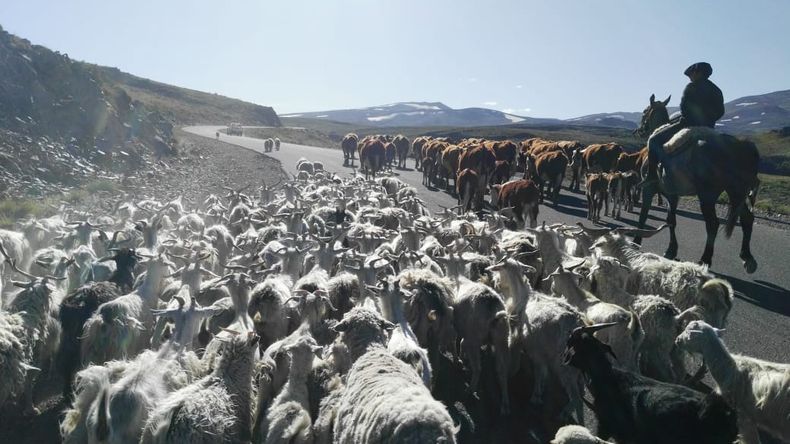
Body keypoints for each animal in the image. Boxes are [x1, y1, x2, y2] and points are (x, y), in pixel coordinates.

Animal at [632, 93, 760, 272]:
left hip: (708, 195)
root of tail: (740, 145)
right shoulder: (673, 195)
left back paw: (704, 260)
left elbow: (643, 215)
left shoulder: (649, 190)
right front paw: (671, 250)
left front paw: (636, 242)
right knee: (747, 219)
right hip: (737, 192)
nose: (639, 130)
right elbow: (671, 221)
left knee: (713, 224)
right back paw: (747, 257)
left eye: (645, 111)